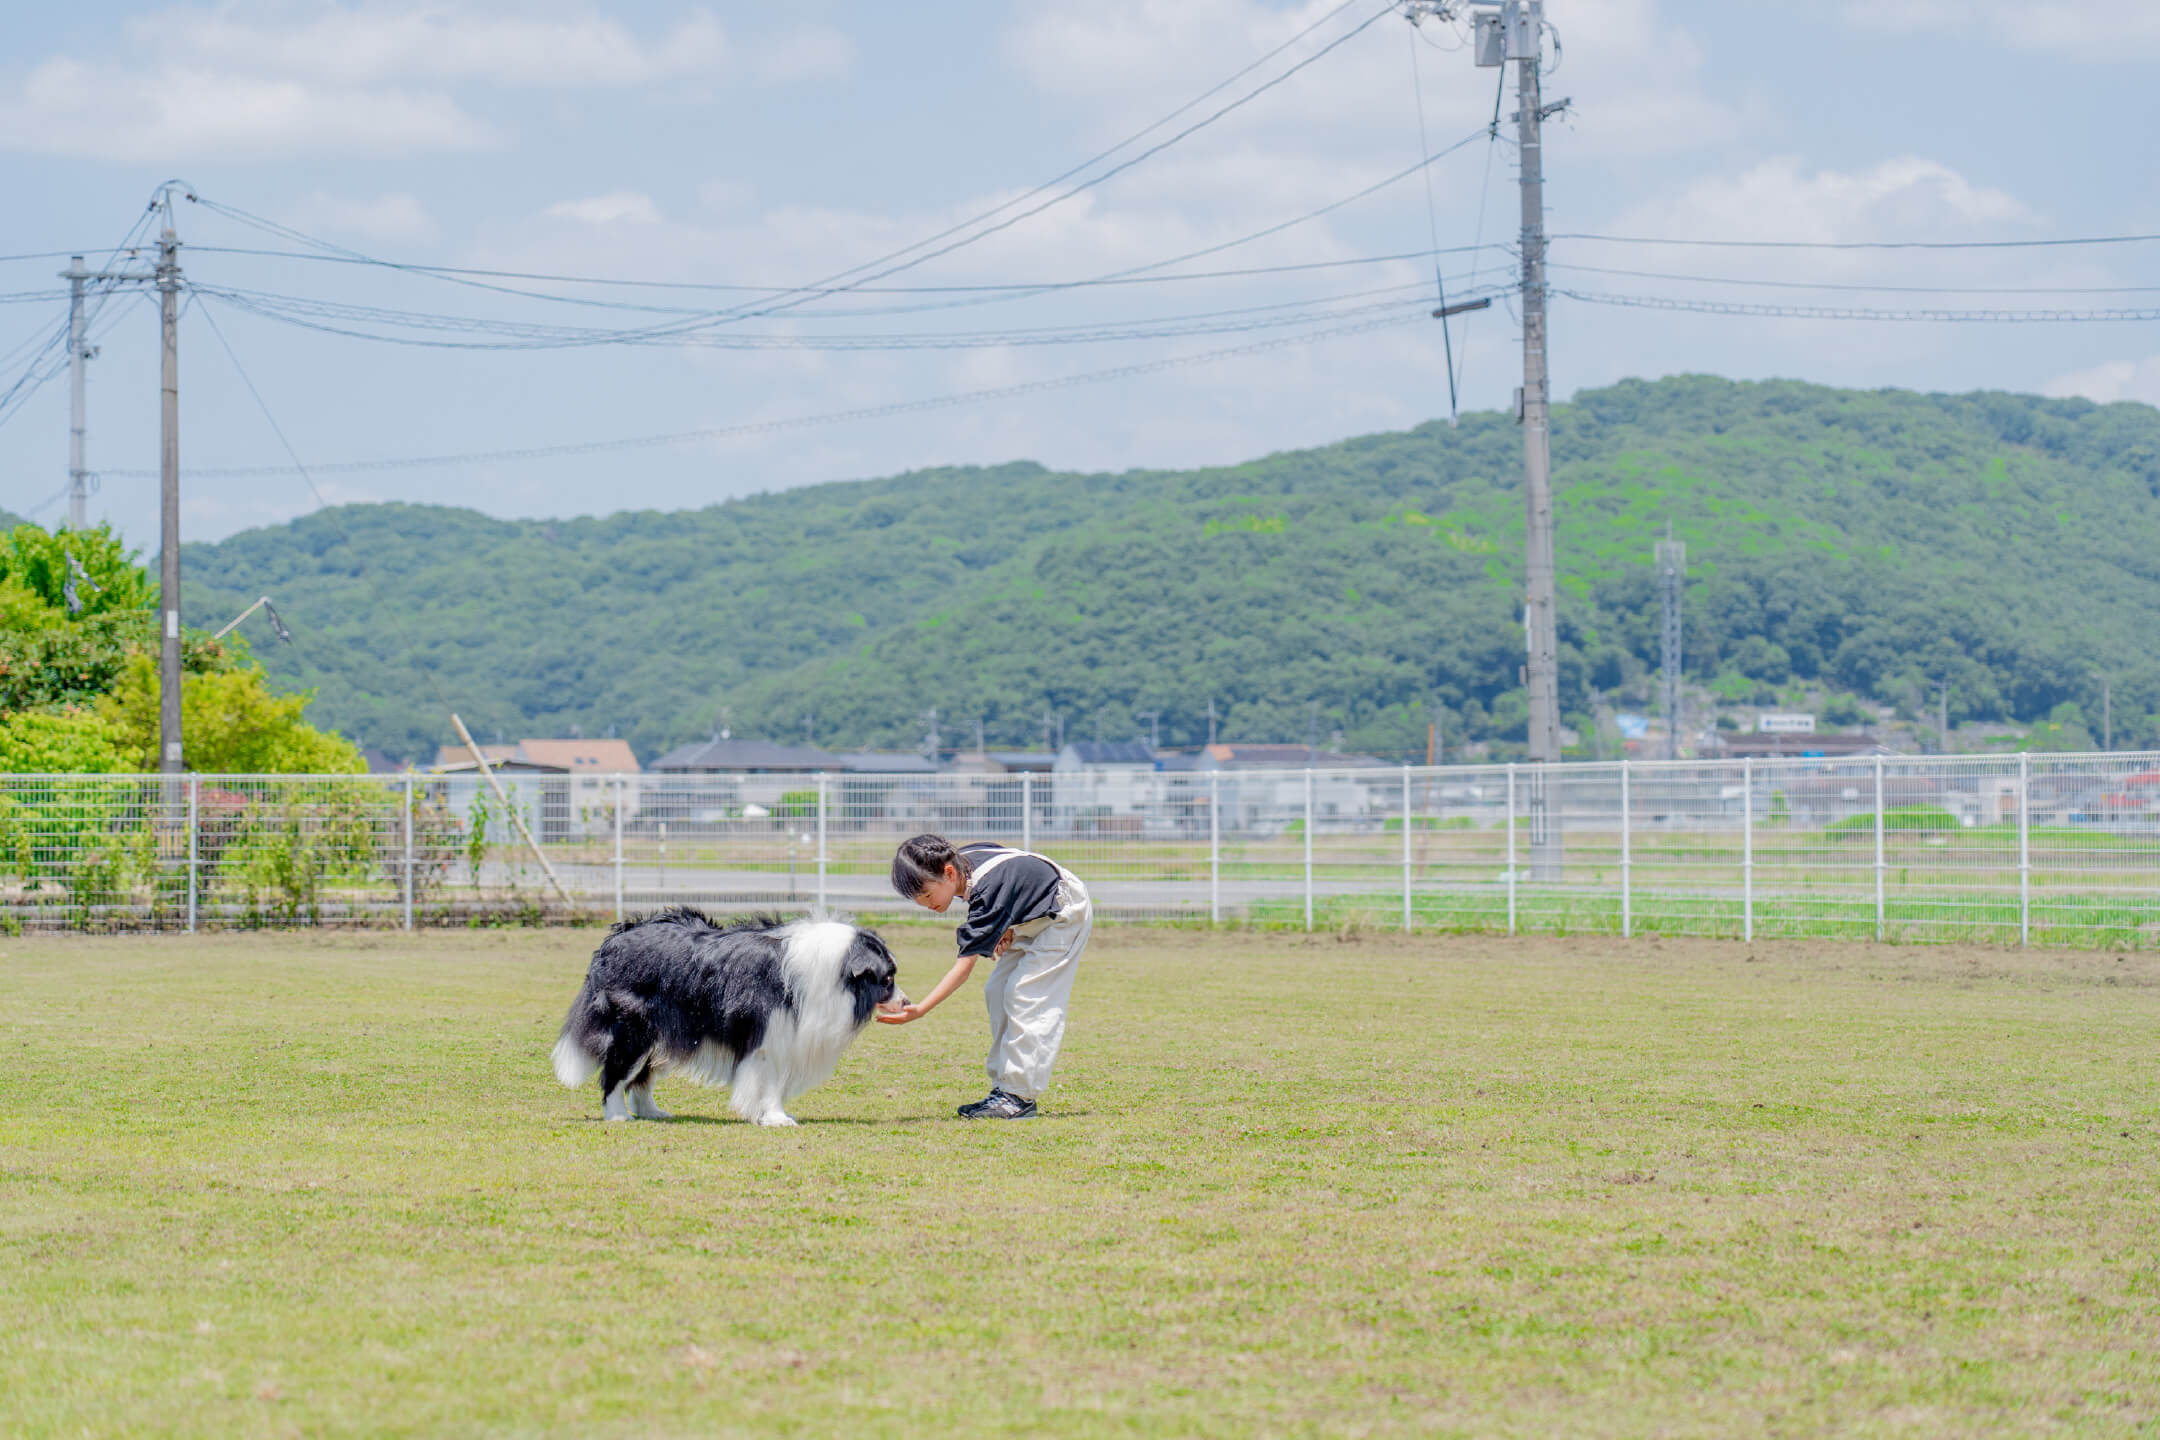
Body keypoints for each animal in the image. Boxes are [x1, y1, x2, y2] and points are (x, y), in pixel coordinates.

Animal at [552, 911, 907, 1122]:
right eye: (887, 979)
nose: (906, 1001)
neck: (834, 971)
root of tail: (614, 939)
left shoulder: (786, 1037)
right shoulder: (768, 1038)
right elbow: (770, 1082)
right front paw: (776, 1118)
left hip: (660, 1035)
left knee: (641, 1078)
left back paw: (652, 1112)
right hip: (632, 1031)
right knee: (615, 1073)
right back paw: (617, 1115)